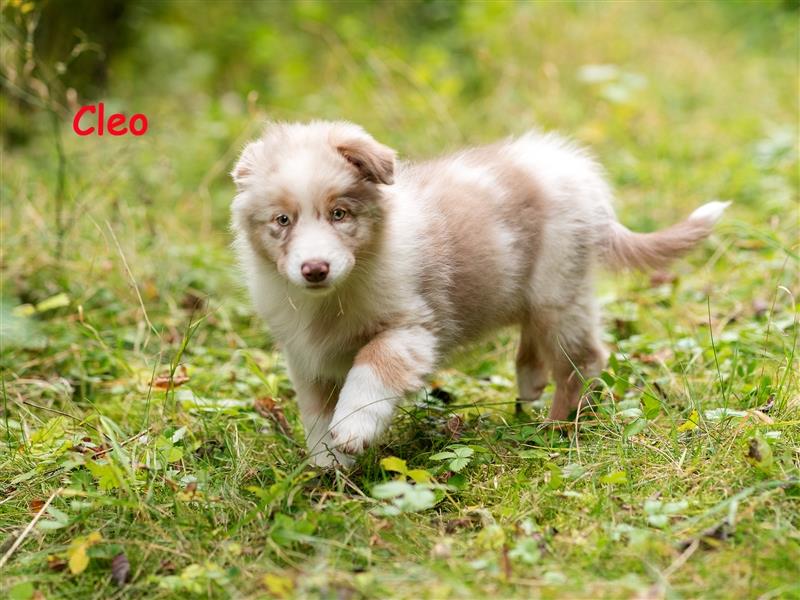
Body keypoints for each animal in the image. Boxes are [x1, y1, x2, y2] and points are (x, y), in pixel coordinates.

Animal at [230, 120, 724, 468]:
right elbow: (315, 412)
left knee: (583, 360)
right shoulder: (306, 357)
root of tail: (579, 173)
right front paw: (327, 466)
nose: (315, 269)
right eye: (282, 220)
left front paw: (353, 429)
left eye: (339, 214)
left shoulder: (412, 328)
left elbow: (372, 369)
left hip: (558, 288)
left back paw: (557, 427)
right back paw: (530, 381)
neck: (332, 298)